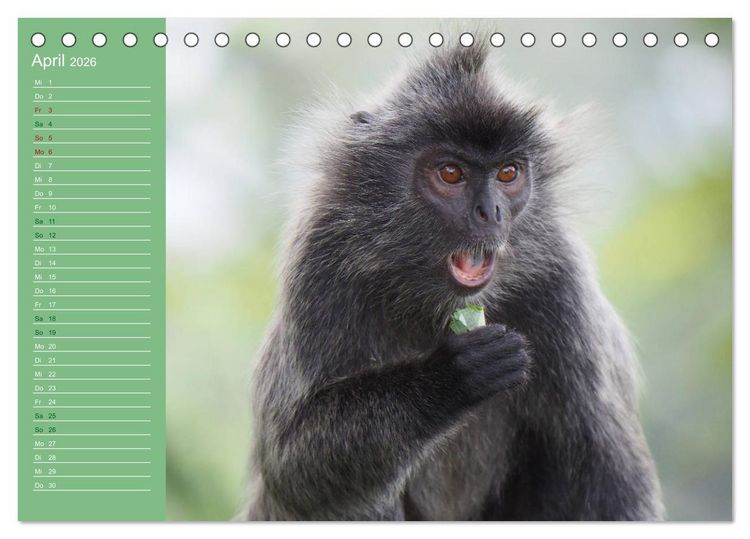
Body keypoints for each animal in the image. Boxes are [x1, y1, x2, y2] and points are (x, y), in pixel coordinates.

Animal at [244, 43, 665, 521]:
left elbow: (615, 486)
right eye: (450, 173)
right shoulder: (320, 261)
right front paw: (449, 376)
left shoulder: (561, 283)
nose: (491, 212)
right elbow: (291, 468)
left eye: (508, 173)